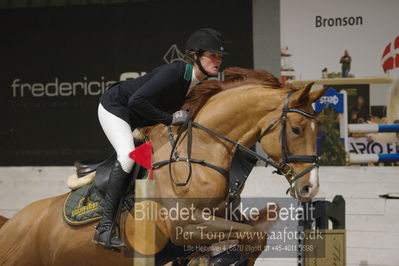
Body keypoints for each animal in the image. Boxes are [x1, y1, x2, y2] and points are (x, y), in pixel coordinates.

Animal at [0, 68, 328, 266]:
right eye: (297, 129)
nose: (310, 187)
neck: (203, 151)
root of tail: (12, 224)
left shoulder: (220, 219)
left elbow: (254, 236)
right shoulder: (185, 226)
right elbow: (252, 236)